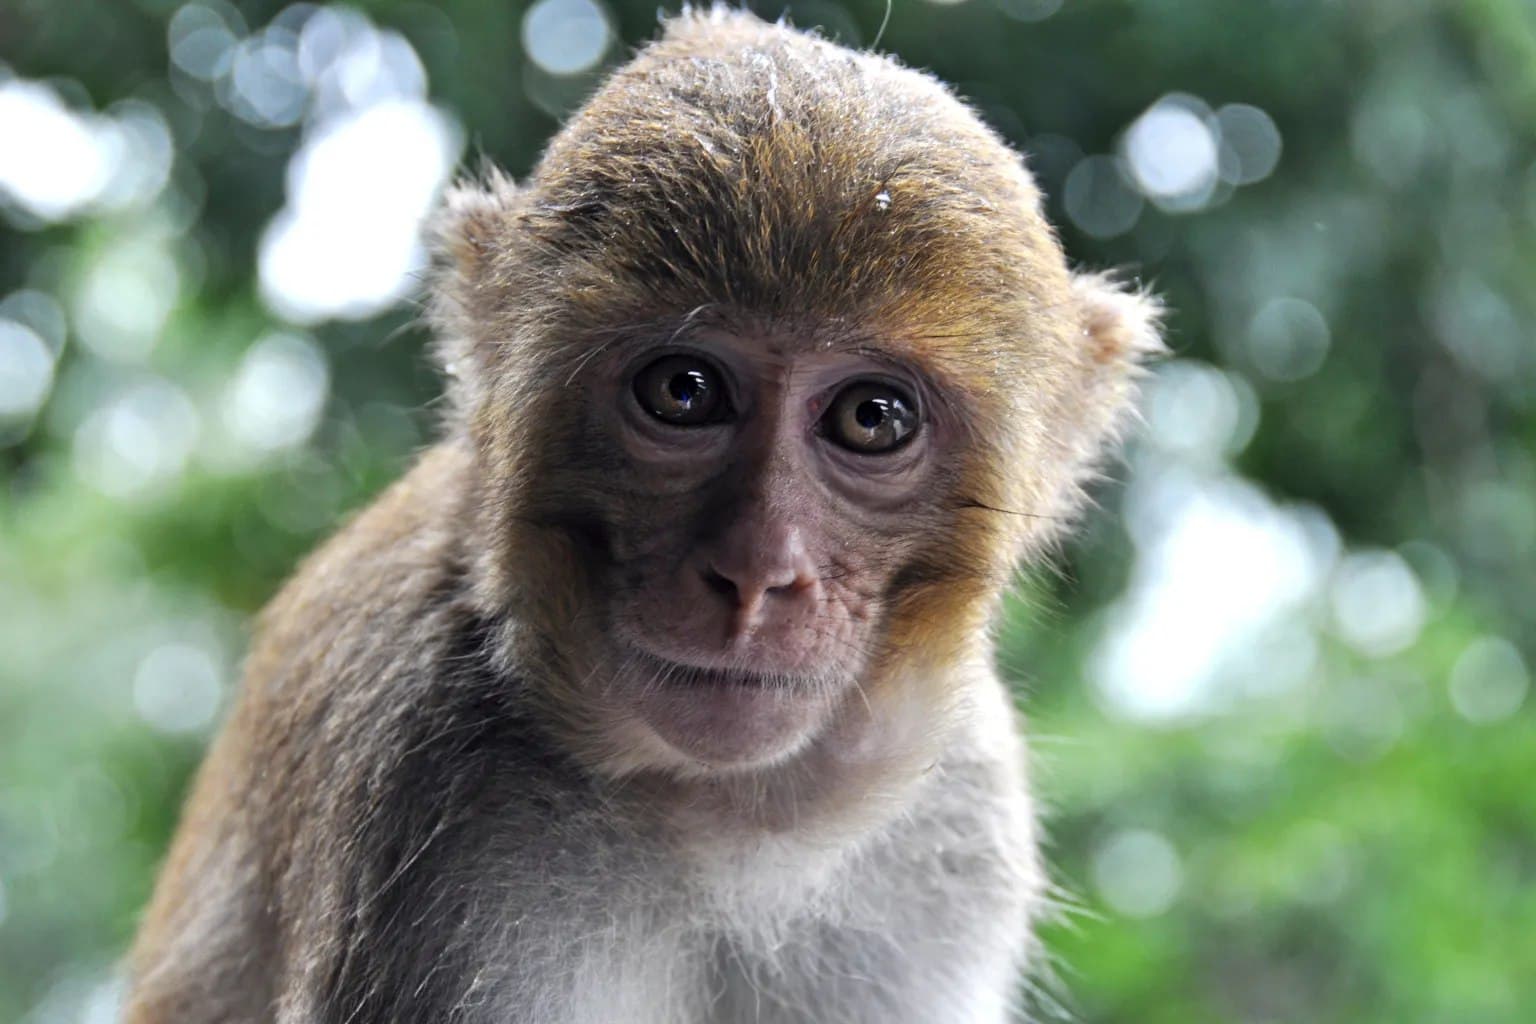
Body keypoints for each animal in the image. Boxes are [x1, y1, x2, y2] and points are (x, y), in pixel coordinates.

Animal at [124, 9, 1161, 1024]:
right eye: (684, 392)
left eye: (872, 417)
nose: (757, 574)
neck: (723, 822)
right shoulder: (428, 815)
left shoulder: (965, 821)